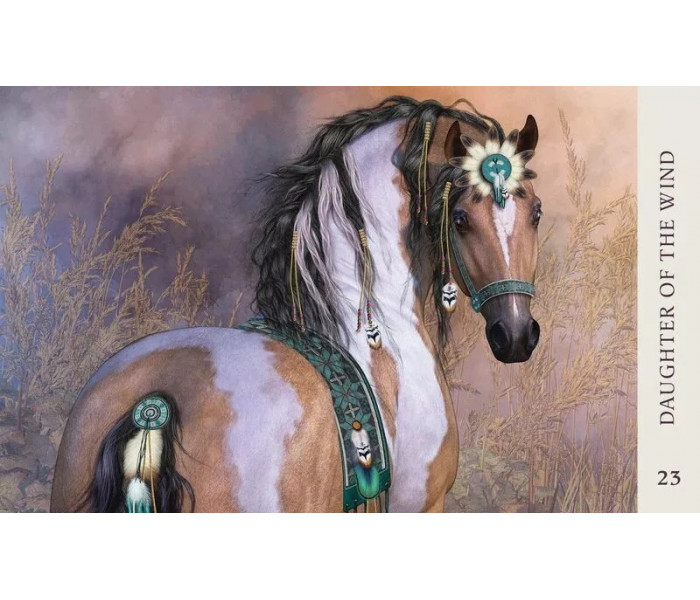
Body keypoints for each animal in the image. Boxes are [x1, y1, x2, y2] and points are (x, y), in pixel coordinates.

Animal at [50, 96, 541, 513]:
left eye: (535, 211)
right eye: (459, 218)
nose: (516, 334)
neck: (374, 323)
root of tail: (153, 406)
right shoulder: (421, 505)